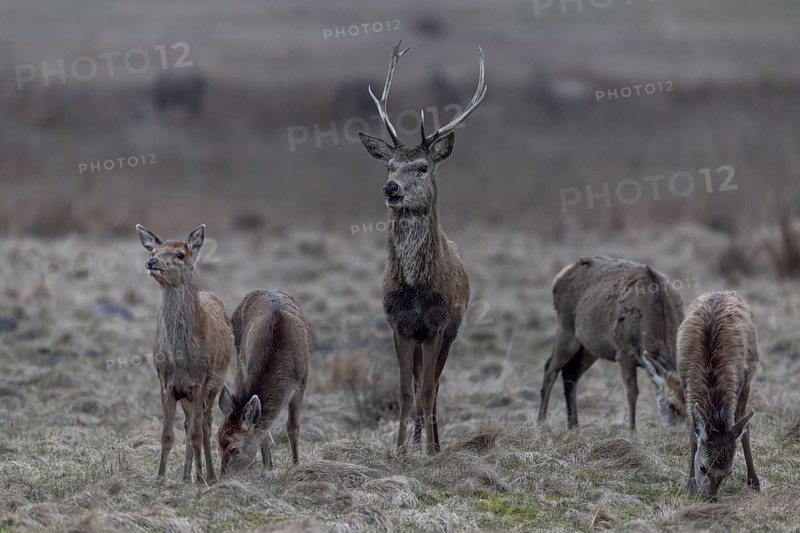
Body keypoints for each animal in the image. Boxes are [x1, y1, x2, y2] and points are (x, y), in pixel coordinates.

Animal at [136, 224, 233, 484]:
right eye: (153, 251)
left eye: (180, 254)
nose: (151, 262)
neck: (181, 359)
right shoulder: (166, 383)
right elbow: (167, 435)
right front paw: (160, 479)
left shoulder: (200, 382)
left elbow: (198, 433)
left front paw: (201, 479)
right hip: (187, 395)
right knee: (190, 425)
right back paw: (187, 475)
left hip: (215, 385)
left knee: (206, 424)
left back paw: (207, 475)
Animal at [217, 290, 313, 475]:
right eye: (217, 443)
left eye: (234, 449)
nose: (223, 476)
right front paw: (268, 466)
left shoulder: (302, 381)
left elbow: (293, 426)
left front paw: (296, 465)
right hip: (238, 361)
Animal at [357, 41, 486, 454]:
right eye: (389, 166)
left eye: (423, 167)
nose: (391, 189)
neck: (415, 288)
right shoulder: (399, 325)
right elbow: (404, 390)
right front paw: (399, 450)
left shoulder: (437, 324)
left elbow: (429, 388)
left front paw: (430, 451)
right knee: (416, 383)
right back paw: (415, 438)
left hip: (452, 332)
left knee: (437, 384)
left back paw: (435, 442)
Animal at [538, 256, 687, 431]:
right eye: (671, 405)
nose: (680, 432)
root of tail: (559, 277)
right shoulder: (623, 351)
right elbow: (632, 392)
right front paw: (632, 431)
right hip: (566, 328)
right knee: (550, 368)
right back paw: (541, 423)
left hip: (590, 347)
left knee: (570, 374)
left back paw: (574, 426)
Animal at [679, 291, 760, 499]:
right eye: (702, 467)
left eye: (729, 471)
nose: (711, 498)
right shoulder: (684, 385)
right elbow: (693, 436)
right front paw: (689, 486)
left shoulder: (741, 383)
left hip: (747, 380)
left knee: (743, 424)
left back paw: (754, 480)